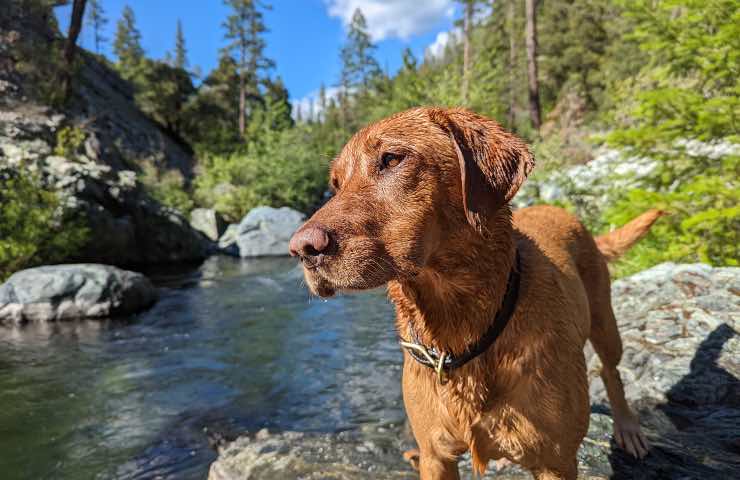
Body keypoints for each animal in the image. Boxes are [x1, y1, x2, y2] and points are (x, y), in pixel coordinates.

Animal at [288, 107, 660, 478]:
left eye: (392, 158)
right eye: (336, 184)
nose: (302, 249)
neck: (457, 329)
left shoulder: (556, 461)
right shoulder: (435, 457)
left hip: (605, 322)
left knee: (611, 371)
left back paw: (628, 427)